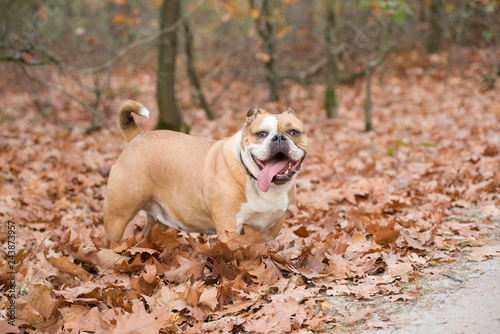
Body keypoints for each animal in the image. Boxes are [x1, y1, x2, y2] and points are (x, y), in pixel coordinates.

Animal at [103, 100, 308, 244]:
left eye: (294, 132)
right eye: (262, 134)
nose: (279, 137)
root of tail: (137, 135)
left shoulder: (272, 228)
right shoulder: (229, 226)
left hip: (158, 219)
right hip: (117, 217)